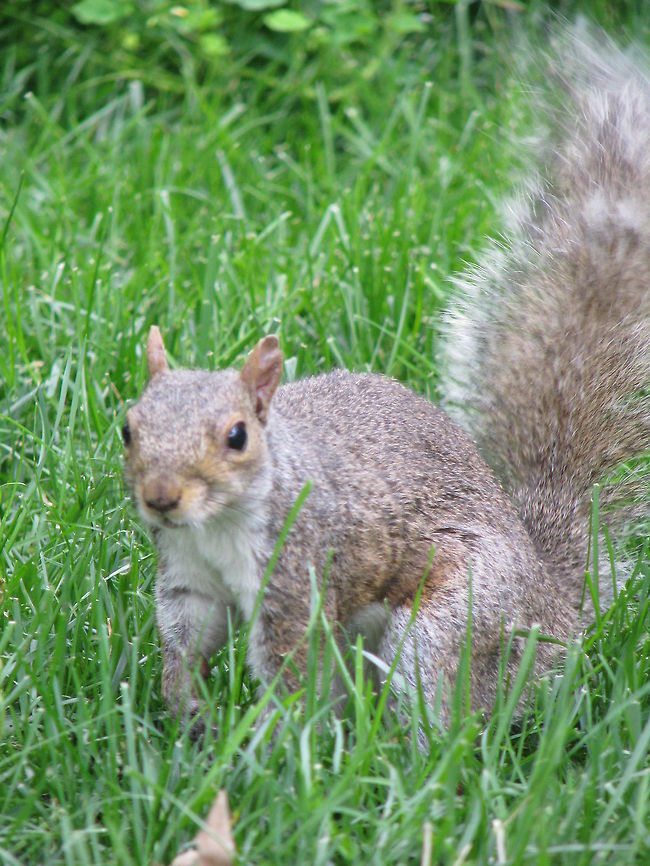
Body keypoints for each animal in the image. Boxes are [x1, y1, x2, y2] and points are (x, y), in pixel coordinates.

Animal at [122, 29, 649, 734]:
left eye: (237, 436)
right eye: (128, 428)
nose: (161, 498)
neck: (216, 526)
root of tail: (554, 608)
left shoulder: (298, 573)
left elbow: (290, 671)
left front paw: (266, 747)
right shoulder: (187, 577)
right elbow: (185, 642)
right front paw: (188, 715)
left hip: (450, 620)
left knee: (435, 704)